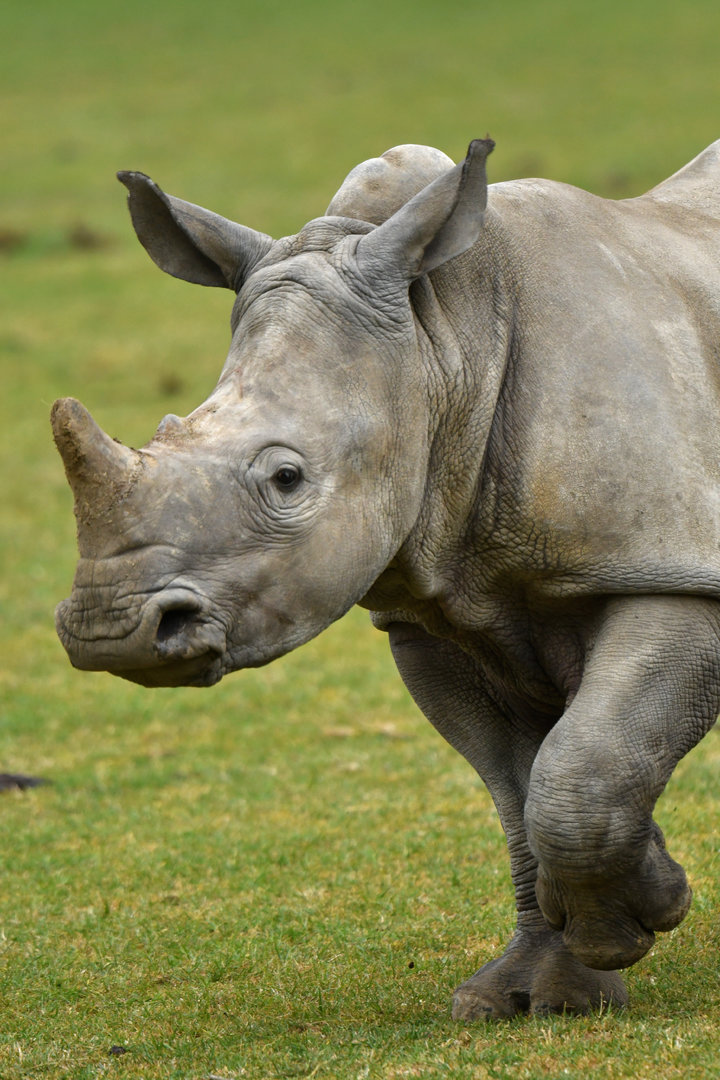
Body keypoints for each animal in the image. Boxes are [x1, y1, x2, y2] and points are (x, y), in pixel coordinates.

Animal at [52, 137, 720, 1019]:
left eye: (287, 479)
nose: (109, 632)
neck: (446, 339)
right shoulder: (435, 609)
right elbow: (520, 794)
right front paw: (536, 994)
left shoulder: (670, 562)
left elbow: (580, 769)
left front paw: (640, 915)